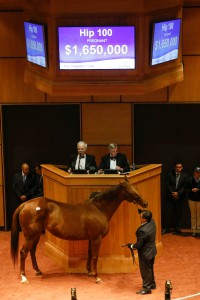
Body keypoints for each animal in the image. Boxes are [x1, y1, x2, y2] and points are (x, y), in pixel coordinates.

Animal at [11, 178, 148, 284]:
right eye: (131, 190)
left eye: (135, 188)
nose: (145, 203)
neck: (98, 208)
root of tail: (25, 204)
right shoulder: (96, 238)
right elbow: (95, 257)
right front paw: (97, 277)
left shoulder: (91, 238)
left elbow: (89, 254)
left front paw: (90, 272)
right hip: (30, 235)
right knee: (23, 252)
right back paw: (24, 278)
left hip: (37, 234)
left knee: (32, 251)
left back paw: (38, 271)